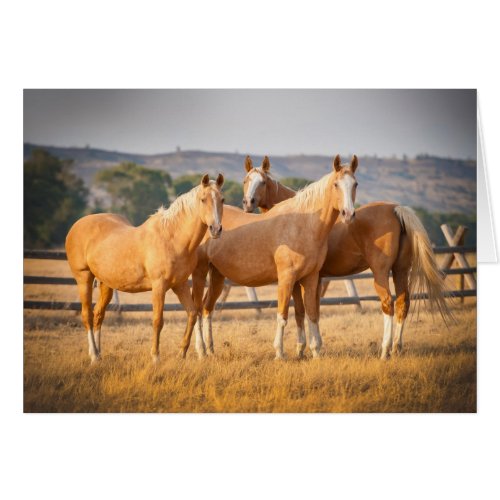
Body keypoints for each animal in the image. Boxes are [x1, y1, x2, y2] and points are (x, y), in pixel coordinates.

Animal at [66, 174, 225, 366]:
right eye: (203, 199)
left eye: (222, 200)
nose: (216, 229)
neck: (172, 238)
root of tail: (76, 226)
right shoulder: (159, 287)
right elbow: (157, 321)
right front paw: (155, 357)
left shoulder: (180, 285)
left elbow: (192, 314)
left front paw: (182, 353)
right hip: (84, 278)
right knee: (87, 315)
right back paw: (94, 356)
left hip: (106, 284)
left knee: (98, 315)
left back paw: (99, 353)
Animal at [191, 156, 360, 360]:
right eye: (336, 184)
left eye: (355, 184)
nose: (348, 214)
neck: (304, 224)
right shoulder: (287, 278)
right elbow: (283, 315)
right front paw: (280, 353)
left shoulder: (311, 278)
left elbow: (311, 314)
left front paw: (315, 352)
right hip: (200, 273)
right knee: (197, 309)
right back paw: (200, 351)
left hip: (217, 275)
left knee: (207, 309)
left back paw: (210, 349)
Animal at [241, 154, 450, 358]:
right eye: (246, 180)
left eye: (263, 182)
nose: (248, 203)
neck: (303, 215)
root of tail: (395, 209)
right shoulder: (315, 279)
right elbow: (312, 310)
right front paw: (311, 346)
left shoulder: (298, 279)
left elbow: (300, 311)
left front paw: (302, 349)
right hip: (400, 270)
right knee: (402, 303)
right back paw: (397, 348)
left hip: (381, 272)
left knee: (387, 303)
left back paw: (385, 350)